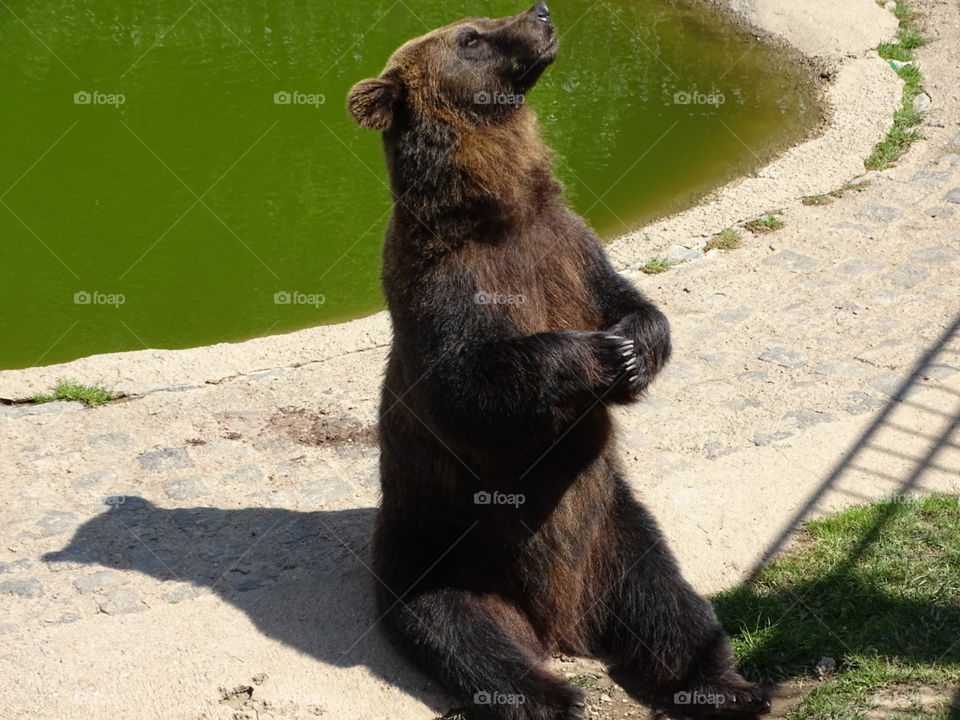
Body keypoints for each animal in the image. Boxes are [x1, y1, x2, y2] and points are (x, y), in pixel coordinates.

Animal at [347, 4, 770, 719]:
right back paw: (554, 695)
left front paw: (634, 347)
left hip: (614, 529)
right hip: (440, 545)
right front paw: (598, 354)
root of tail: (563, 624)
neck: (499, 211)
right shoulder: (444, 286)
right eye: (469, 37)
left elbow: (628, 299)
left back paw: (726, 685)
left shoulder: (570, 246)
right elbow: (467, 387)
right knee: (462, 631)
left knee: (671, 605)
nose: (540, 11)